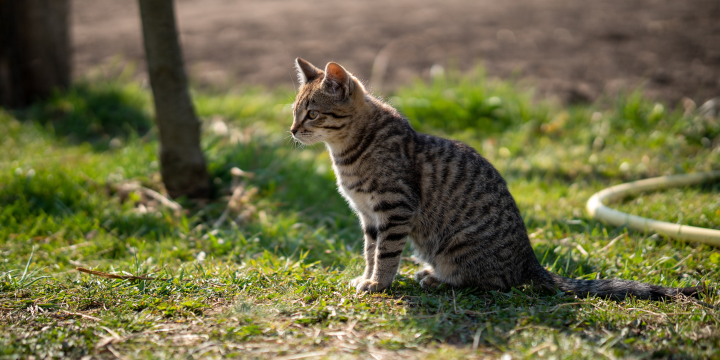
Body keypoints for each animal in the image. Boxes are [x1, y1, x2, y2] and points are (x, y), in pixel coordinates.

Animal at [288, 58, 704, 300]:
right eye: (294, 112)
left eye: (312, 114)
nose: (292, 131)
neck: (347, 153)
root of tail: (529, 259)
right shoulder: (368, 216)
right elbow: (370, 251)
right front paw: (367, 276)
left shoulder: (394, 208)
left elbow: (386, 253)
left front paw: (379, 284)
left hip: (458, 245)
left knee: (494, 281)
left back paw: (438, 279)